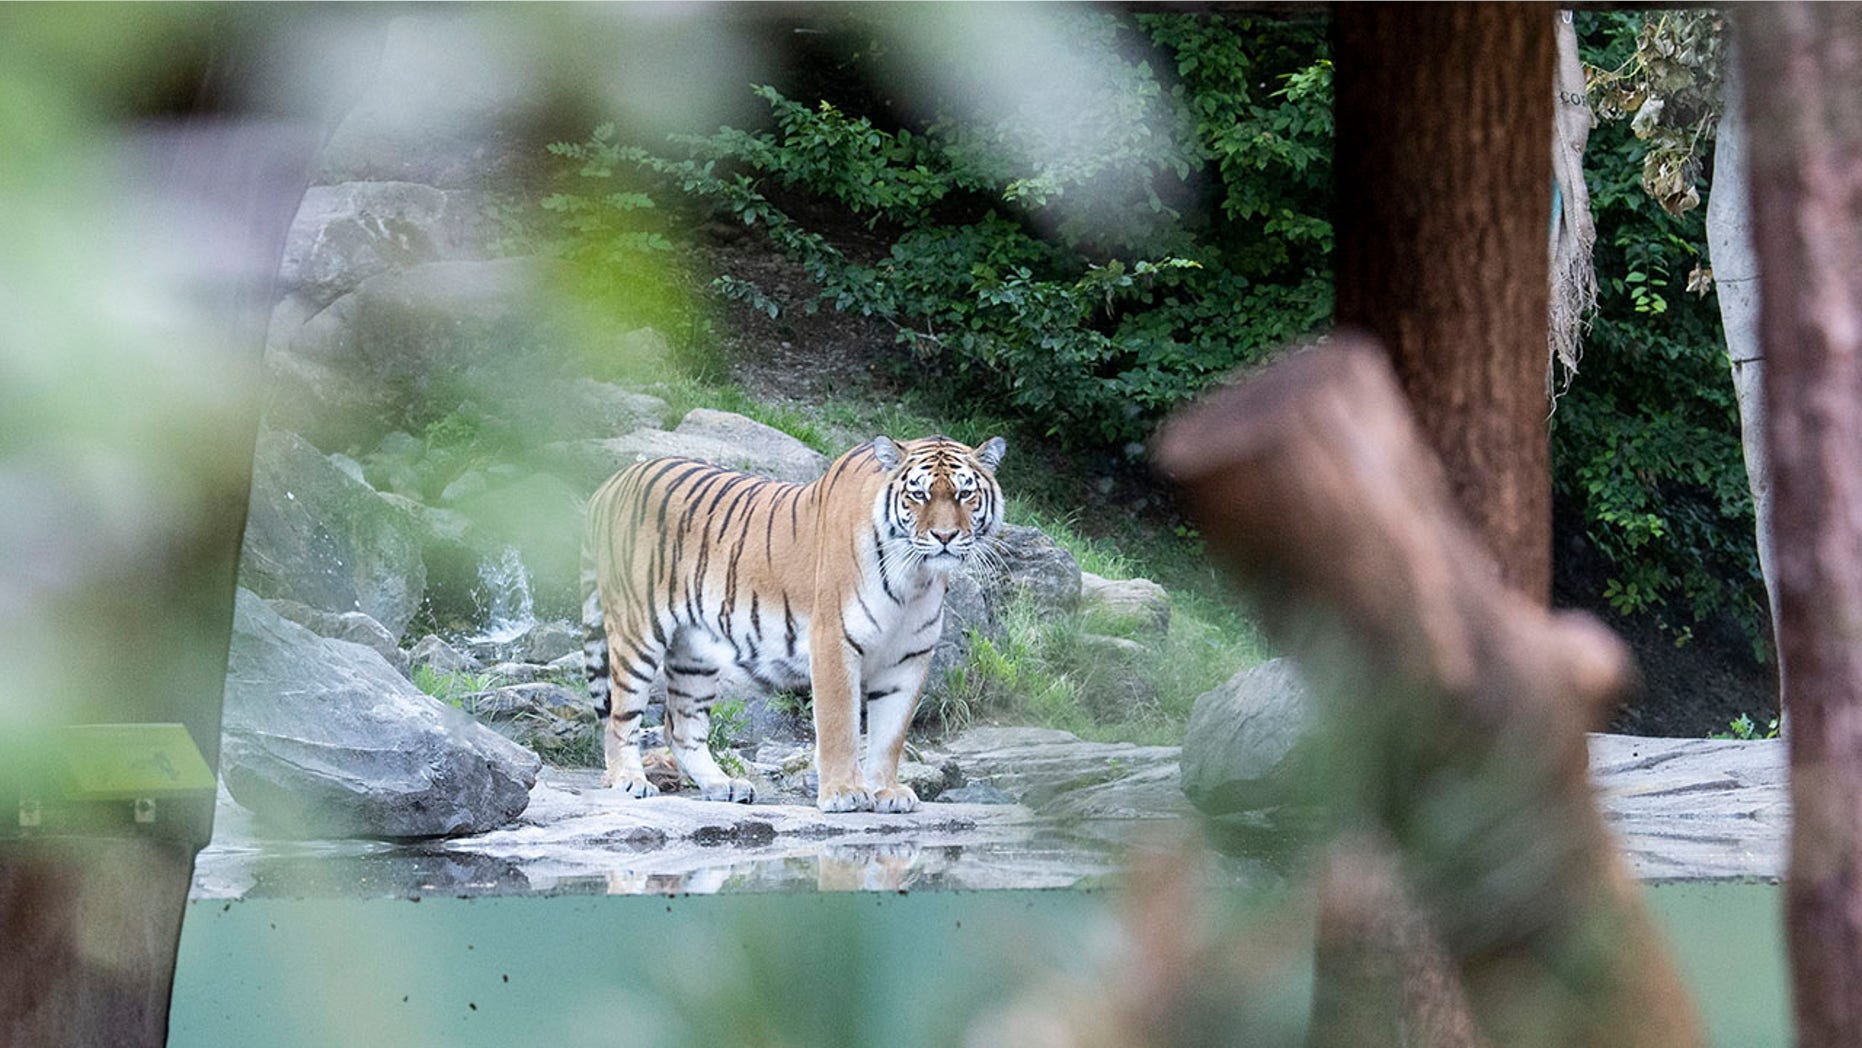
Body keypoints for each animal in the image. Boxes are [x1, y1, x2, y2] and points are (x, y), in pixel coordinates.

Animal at [581, 434, 1007, 813]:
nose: (945, 536)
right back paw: (630, 780)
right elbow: (840, 726)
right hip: (637, 633)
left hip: (694, 653)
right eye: (918, 495)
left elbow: (890, 735)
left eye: (965, 494)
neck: (915, 579)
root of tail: (609, 486)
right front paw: (844, 793)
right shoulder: (833, 641)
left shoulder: (908, 658)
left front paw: (887, 792)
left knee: (680, 725)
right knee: (619, 718)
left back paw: (722, 785)